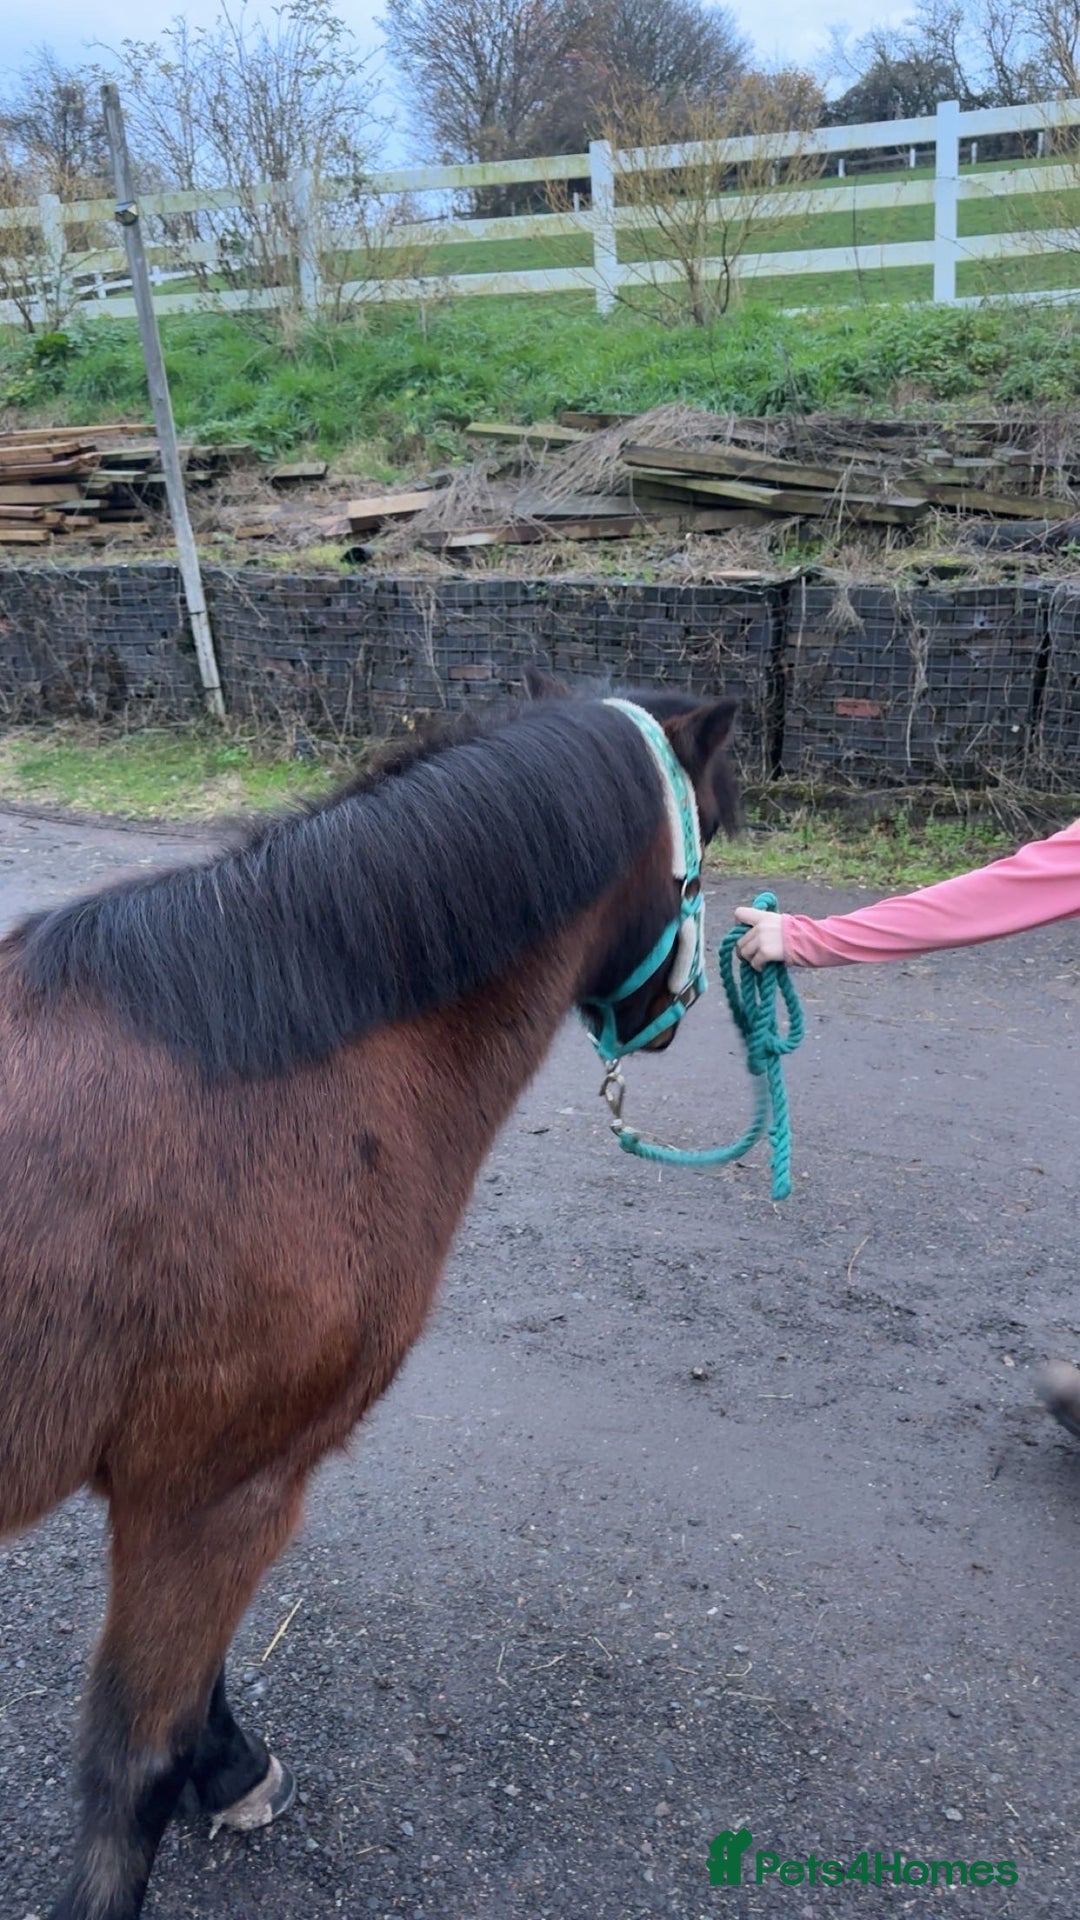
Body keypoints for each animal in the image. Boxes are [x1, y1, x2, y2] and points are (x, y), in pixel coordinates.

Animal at [0, 673, 738, 1920]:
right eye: (713, 838)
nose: (673, 1015)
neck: (264, 1068)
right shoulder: (215, 1490)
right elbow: (132, 1762)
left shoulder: (185, 1497)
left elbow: (191, 1690)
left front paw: (233, 1769)